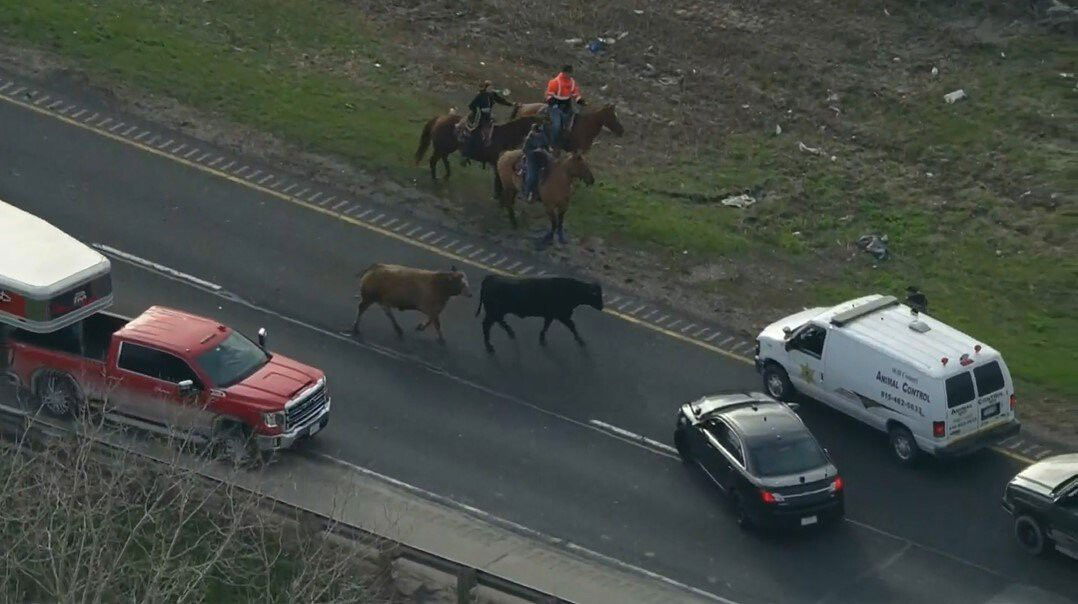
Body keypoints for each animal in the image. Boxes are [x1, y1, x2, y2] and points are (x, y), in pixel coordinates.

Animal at [474, 275, 603, 353]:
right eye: (597, 296)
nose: (602, 307)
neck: (571, 290)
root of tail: (490, 278)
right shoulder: (562, 316)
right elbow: (572, 327)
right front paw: (581, 341)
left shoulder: (551, 315)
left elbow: (546, 326)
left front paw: (542, 338)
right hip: (493, 312)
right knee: (487, 325)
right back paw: (490, 347)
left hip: (496, 313)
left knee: (498, 322)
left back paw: (511, 333)